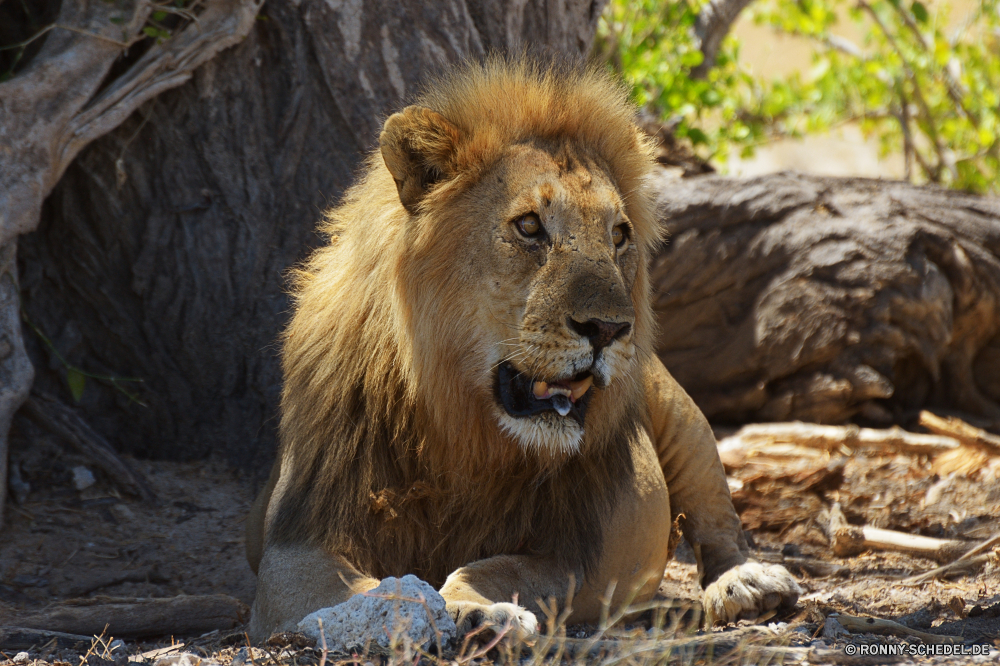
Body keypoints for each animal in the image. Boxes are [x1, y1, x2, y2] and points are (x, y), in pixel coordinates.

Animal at [246, 59, 800, 640]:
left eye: (619, 236)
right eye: (530, 226)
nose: (609, 328)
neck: (459, 428)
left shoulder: (573, 550)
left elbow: (496, 567)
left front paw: (479, 609)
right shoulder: (296, 541)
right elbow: (369, 588)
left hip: (681, 416)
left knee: (716, 515)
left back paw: (747, 585)